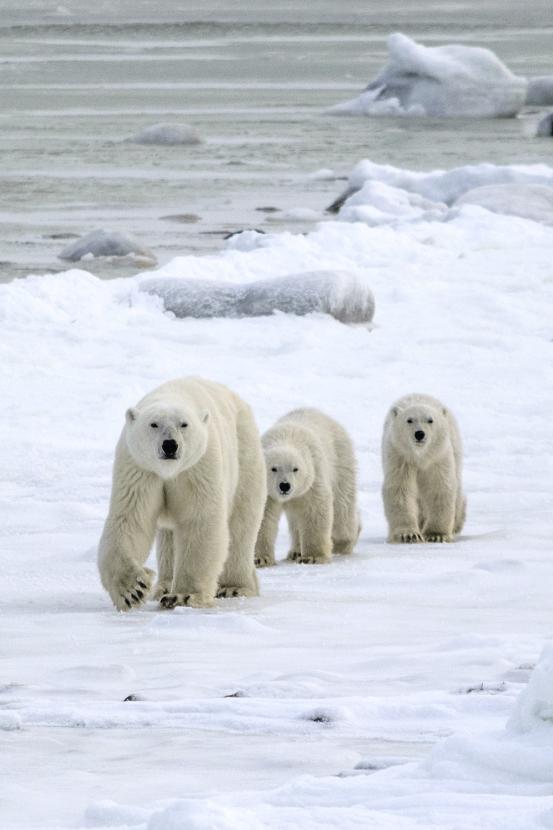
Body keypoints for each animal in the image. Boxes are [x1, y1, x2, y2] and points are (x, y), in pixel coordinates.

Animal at [97, 377, 266, 611]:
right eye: (154, 424)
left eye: (184, 424)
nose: (170, 445)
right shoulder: (139, 468)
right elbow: (131, 519)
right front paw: (133, 589)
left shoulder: (198, 467)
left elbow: (199, 520)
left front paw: (183, 596)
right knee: (168, 536)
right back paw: (163, 586)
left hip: (244, 456)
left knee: (241, 525)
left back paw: (234, 587)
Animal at [254, 408, 360, 566]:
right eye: (273, 468)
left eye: (295, 469)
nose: (284, 486)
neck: (286, 437)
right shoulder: (267, 491)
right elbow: (263, 517)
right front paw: (260, 559)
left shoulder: (313, 476)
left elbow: (315, 509)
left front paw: (313, 557)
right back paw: (295, 552)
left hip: (340, 463)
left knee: (342, 512)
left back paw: (344, 542)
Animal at [381, 393, 466, 544]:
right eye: (409, 420)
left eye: (430, 420)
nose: (419, 434)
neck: (420, 455)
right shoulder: (400, 457)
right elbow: (400, 488)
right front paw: (408, 535)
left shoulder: (438, 457)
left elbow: (439, 487)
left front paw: (436, 535)